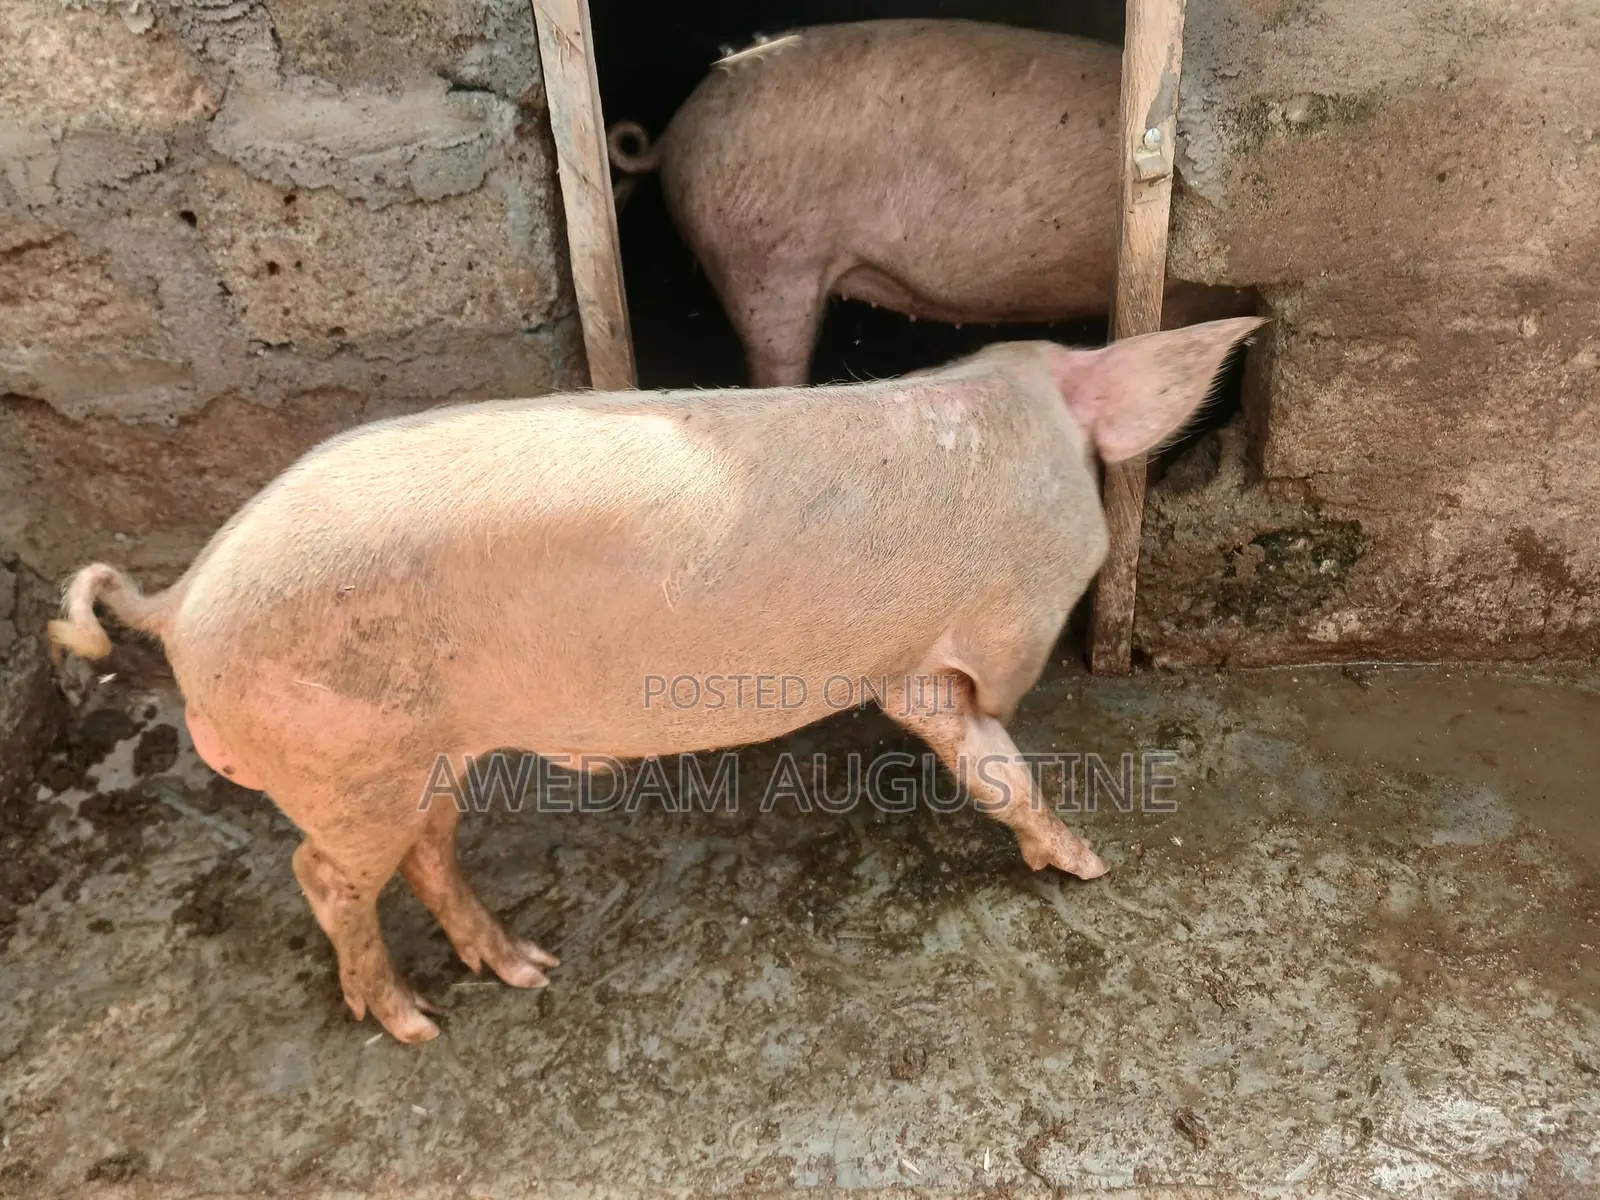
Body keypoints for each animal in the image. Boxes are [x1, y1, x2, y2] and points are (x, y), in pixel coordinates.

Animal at [49, 316, 1262, 1044]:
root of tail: (184, 600)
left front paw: (1082, 859)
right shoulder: (965, 641)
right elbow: (996, 759)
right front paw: (1093, 864)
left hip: (417, 755)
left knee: (426, 853)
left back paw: (525, 970)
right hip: (348, 762)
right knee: (324, 875)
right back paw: (414, 1024)